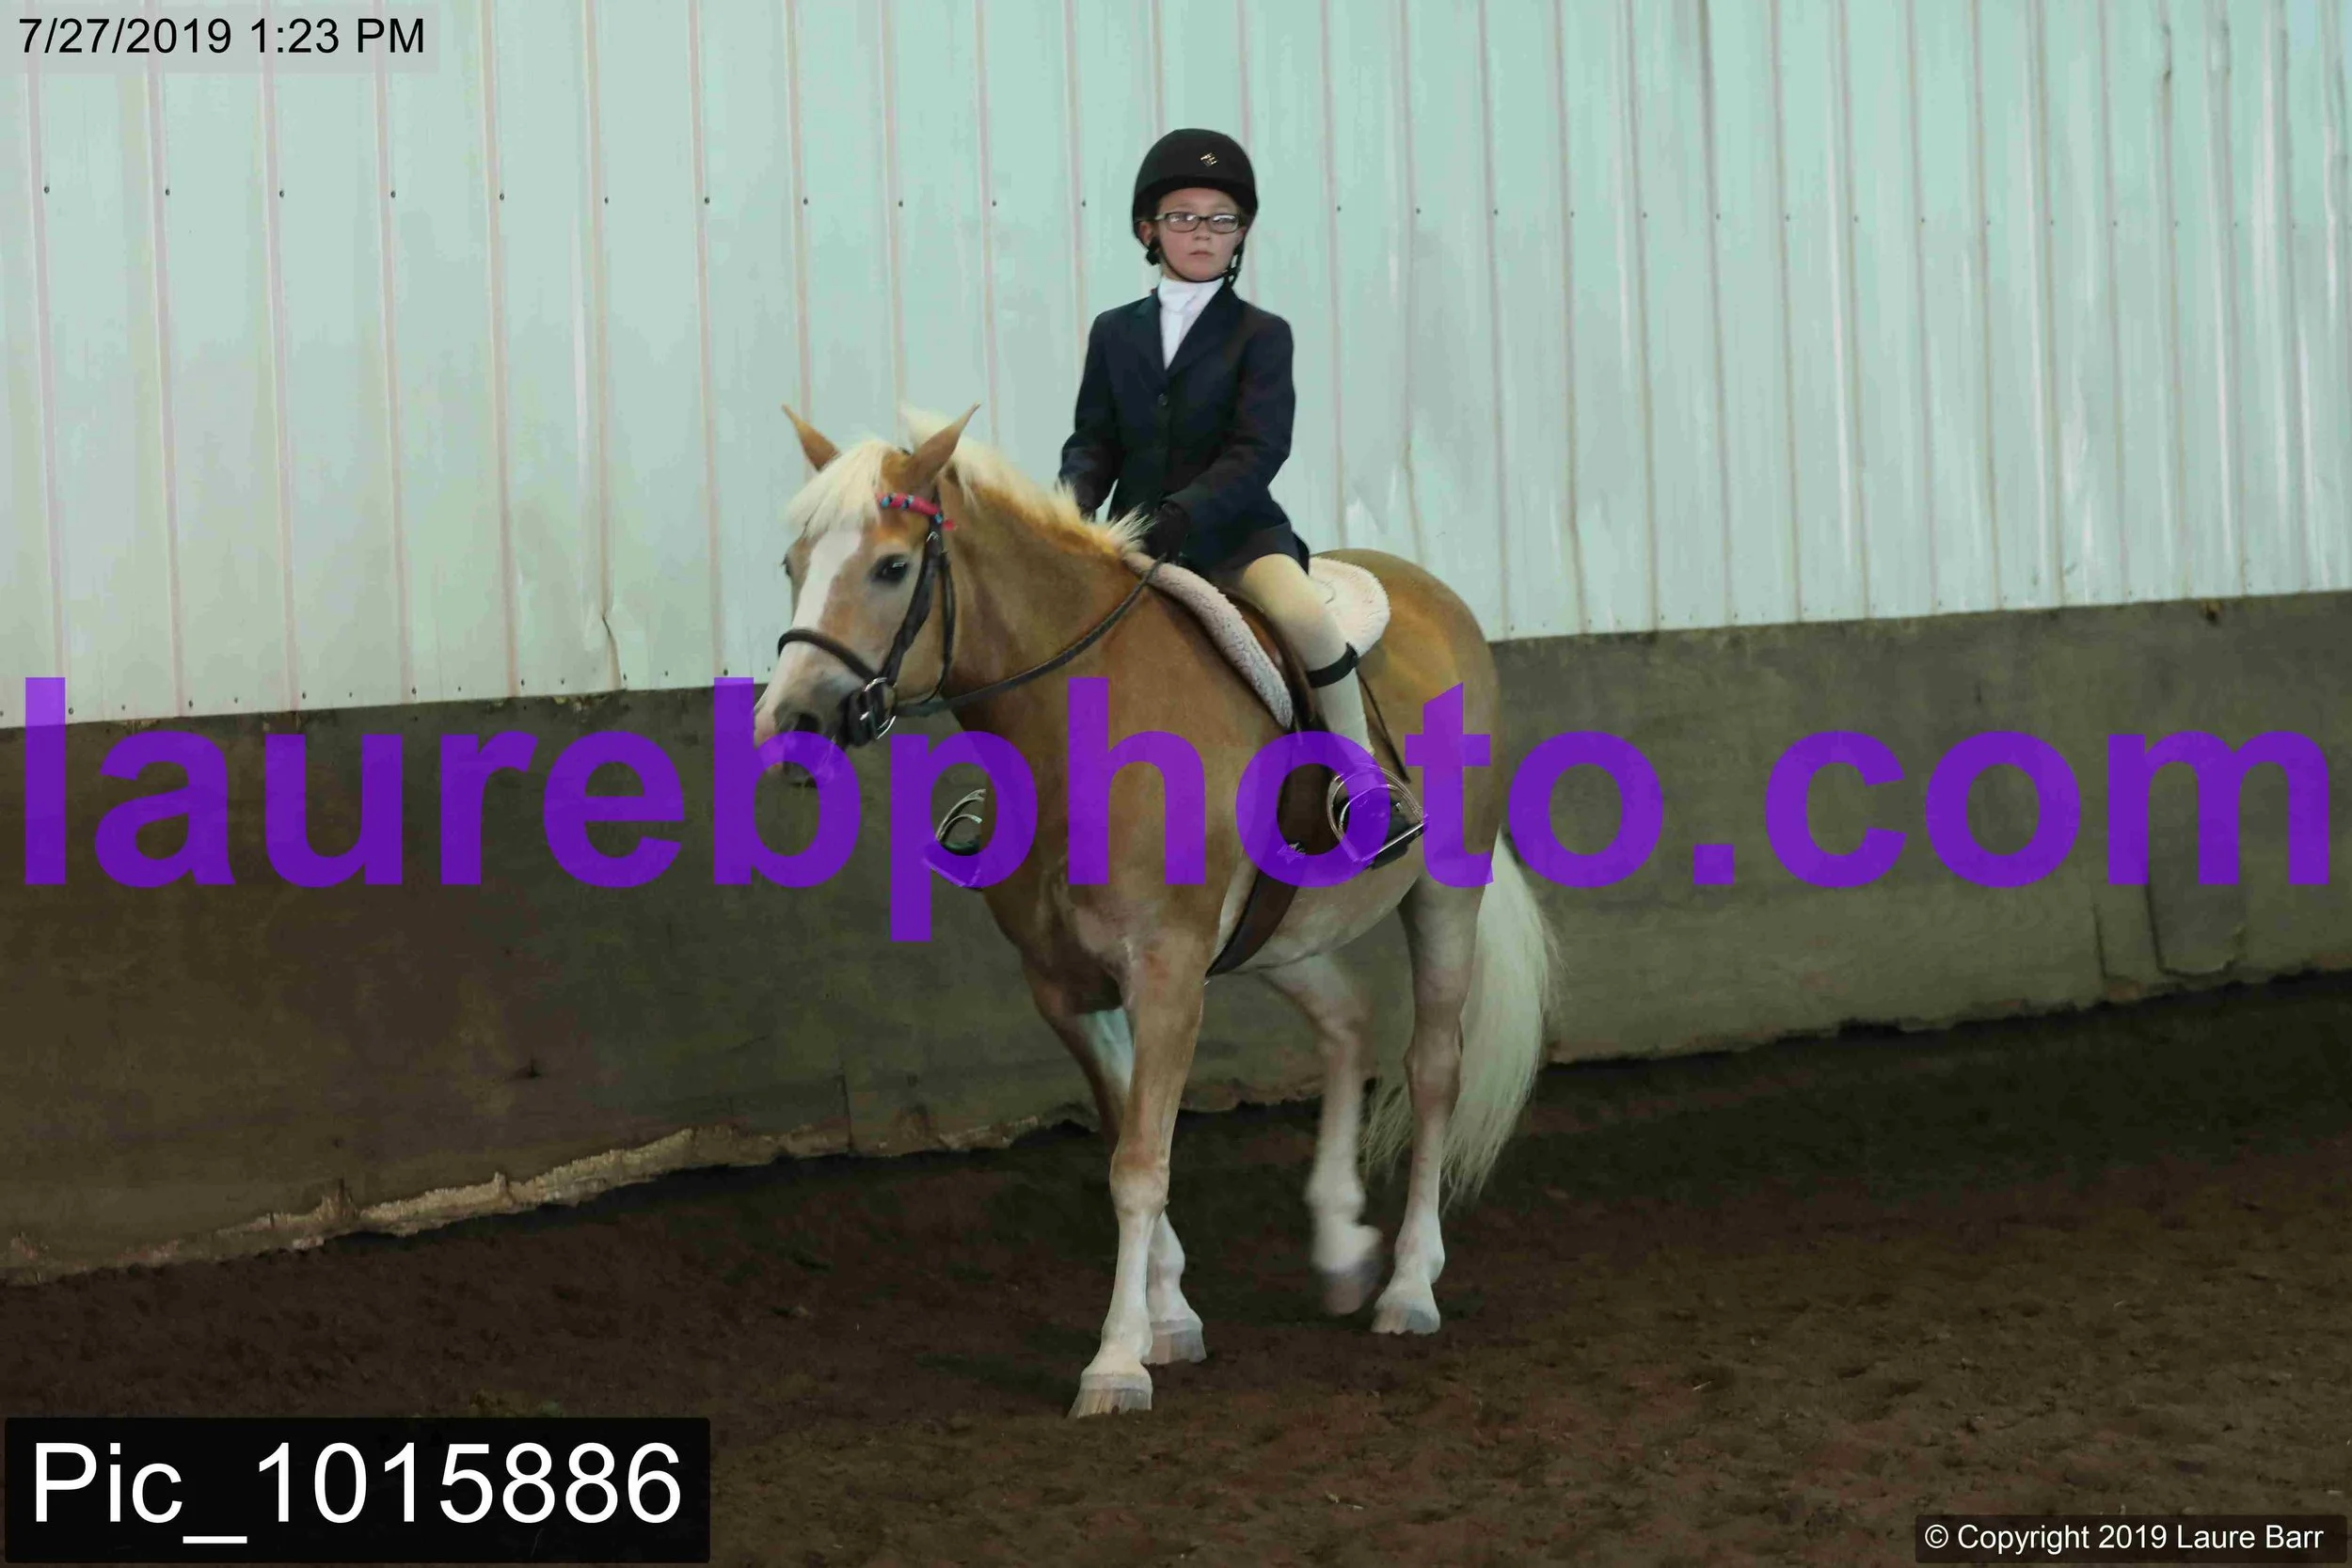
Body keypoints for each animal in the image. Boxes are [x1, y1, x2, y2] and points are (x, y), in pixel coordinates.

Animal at [750, 403, 1562, 1417]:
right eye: (793, 562)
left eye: (893, 567)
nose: (790, 724)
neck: (1079, 730)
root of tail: (1434, 595)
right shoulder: (1066, 987)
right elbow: (1129, 1139)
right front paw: (1170, 1318)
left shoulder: (1167, 972)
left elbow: (1140, 1163)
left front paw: (1116, 1359)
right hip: (1281, 937)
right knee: (1345, 1021)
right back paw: (1340, 1244)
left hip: (1443, 893)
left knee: (1433, 1068)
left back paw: (1409, 1286)